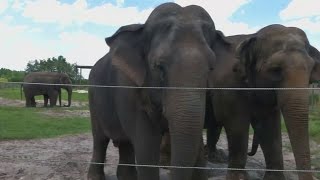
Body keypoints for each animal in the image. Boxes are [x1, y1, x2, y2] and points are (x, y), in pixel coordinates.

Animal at [87, 2, 232, 180]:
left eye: (211, 68)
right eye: (160, 67)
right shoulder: (129, 88)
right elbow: (147, 145)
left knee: (126, 143)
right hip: (93, 98)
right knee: (100, 139)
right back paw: (95, 176)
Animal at [206, 24, 320, 180]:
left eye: (311, 69)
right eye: (275, 69)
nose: (250, 152)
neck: (251, 36)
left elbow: (269, 126)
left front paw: (274, 178)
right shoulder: (227, 86)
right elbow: (236, 122)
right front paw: (238, 177)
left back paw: (214, 157)